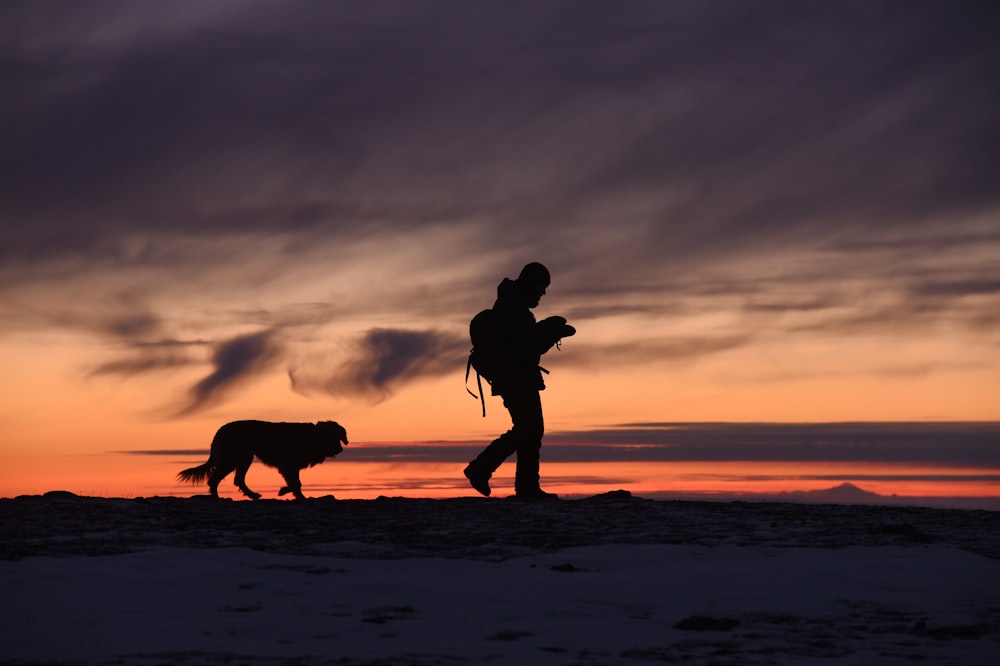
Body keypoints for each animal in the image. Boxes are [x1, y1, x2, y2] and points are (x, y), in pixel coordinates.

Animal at [178, 420, 350, 498]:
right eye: (333, 436)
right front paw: (296, 495)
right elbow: (296, 483)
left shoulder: (291, 466)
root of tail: (220, 431)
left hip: (244, 458)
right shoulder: (288, 465)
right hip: (232, 459)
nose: (340, 449)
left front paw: (287, 491)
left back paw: (252, 495)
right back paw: (216, 497)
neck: (315, 437)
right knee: (214, 480)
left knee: (238, 480)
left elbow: (295, 483)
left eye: (340, 437)